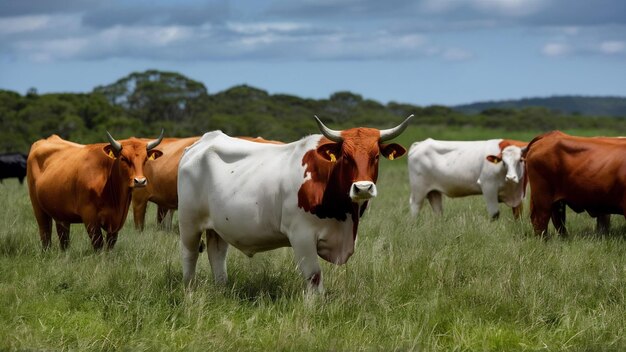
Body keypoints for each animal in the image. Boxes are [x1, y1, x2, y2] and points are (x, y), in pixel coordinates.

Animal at [27, 131, 163, 249]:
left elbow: (110, 246)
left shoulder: (116, 222)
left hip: (61, 214)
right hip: (38, 209)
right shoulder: (90, 218)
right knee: (45, 235)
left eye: (145, 159)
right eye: (123, 158)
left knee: (63, 239)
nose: (140, 181)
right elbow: (98, 244)